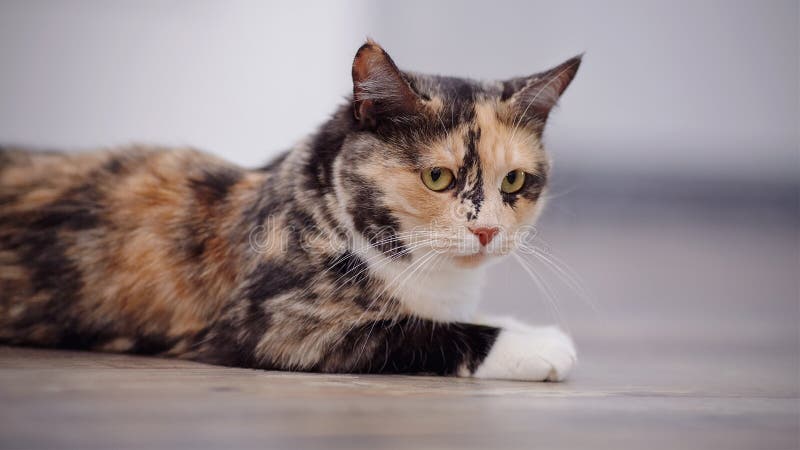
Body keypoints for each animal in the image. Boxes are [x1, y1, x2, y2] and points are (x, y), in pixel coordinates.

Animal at [0, 41, 580, 380]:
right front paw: (539, 345)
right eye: (438, 177)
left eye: (515, 181)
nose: (487, 231)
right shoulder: (281, 326)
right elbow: (421, 331)